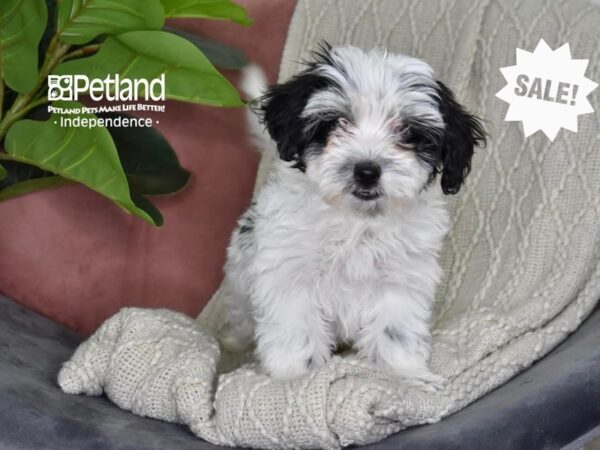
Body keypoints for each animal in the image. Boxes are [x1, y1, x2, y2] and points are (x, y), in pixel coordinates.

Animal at [220, 45, 488, 388]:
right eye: (337, 123)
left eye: (407, 132)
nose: (367, 171)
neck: (357, 222)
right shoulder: (289, 277)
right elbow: (296, 332)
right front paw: (294, 376)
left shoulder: (401, 281)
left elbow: (394, 331)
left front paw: (407, 373)